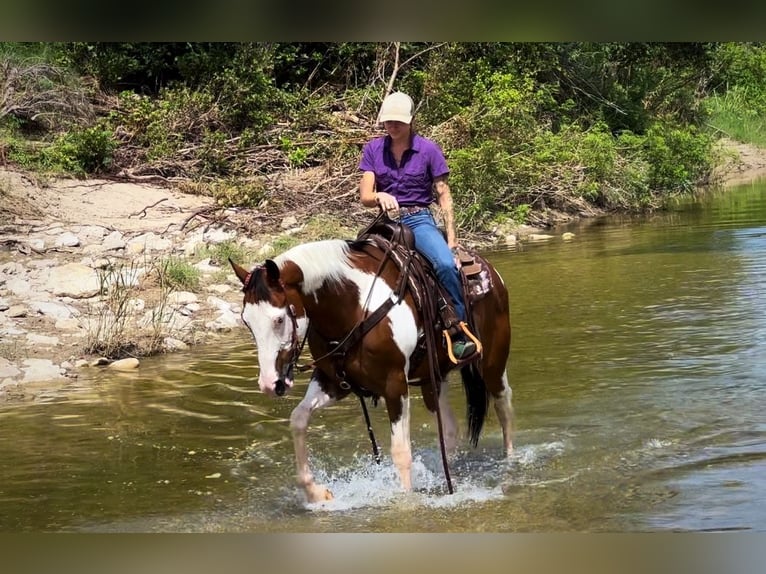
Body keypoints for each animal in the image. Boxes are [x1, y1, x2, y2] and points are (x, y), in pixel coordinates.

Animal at [229, 229, 513, 503]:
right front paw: (316, 493)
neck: (353, 305)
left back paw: (510, 462)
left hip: (492, 362)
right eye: (246, 321)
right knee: (450, 427)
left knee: (503, 404)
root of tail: (488, 268)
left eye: (278, 319)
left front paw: (405, 502)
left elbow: (401, 451)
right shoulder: (333, 382)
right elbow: (298, 419)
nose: (269, 384)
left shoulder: (395, 384)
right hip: (433, 379)